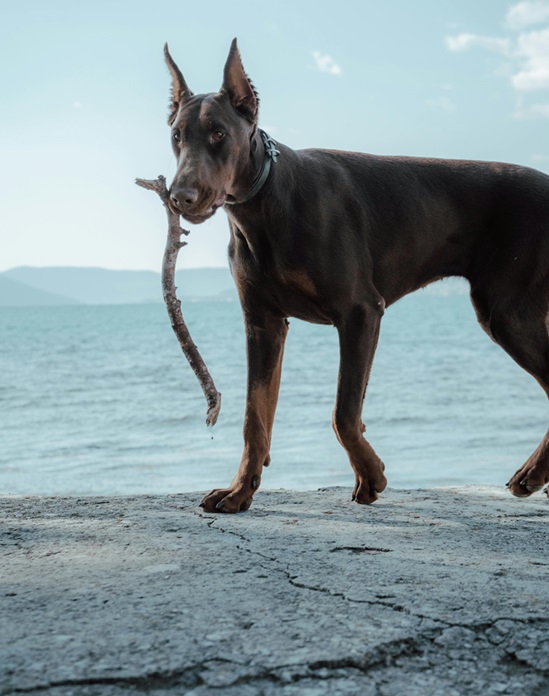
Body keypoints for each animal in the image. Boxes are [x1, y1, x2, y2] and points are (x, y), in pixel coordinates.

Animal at [165, 40, 548, 512]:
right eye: (177, 136)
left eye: (218, 133)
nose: (180, 197)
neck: (267, 202)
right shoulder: (263, 323)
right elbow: (256, 415)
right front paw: (240, 489)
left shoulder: (361, 312)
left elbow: (344, 413)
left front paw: (372, 475)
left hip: (507, 313)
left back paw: (532, 474)